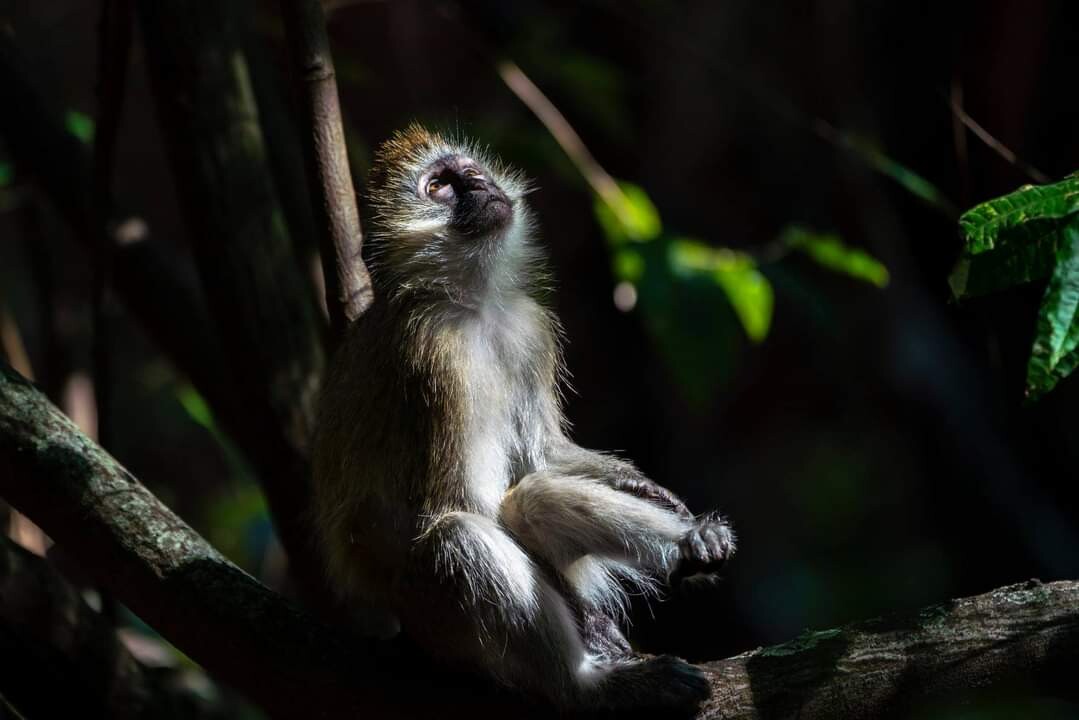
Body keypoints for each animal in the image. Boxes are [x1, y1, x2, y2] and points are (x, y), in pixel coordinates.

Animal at [312, 125, 735, 713]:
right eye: (440, 186)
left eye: (469, 172)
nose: (478, 185)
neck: (473, 304)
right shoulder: (432, 353)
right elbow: (464, 499)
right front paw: (594, 628)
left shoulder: (529, 328)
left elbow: (541, 454)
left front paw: (650, 493)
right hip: (435, 622)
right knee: (466, 534)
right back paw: (587, 686)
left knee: (533, 499)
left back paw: (689, 545)